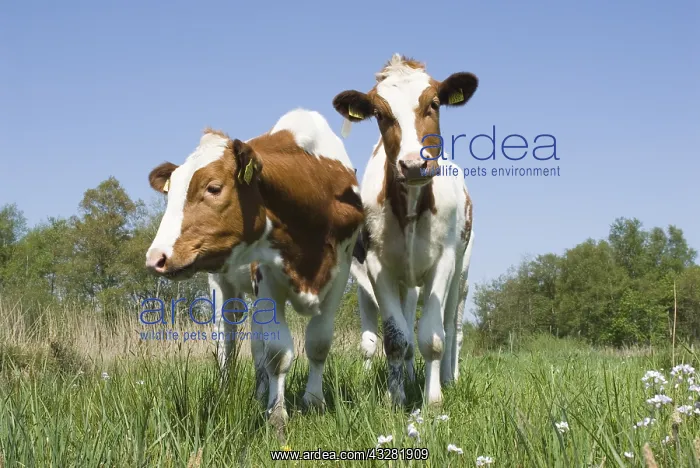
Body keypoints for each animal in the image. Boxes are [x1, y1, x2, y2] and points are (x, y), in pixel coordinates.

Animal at [144, 109, 364, 430]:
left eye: (213, 187)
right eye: (169, 195)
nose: (156, 258)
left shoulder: (339, 272)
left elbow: (318, 343)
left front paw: (313, 402)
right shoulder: (267, 279)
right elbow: (277, 353)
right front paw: (277, 416)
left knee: (257, 346)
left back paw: (261, 392)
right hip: (222, 286)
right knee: (227, 340)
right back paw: (227, 390)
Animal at [332, 54, 476, 407]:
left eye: (434, 104)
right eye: (380, 114)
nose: (412, 164)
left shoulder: (444, 262)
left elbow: (433, 337)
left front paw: (433, 400)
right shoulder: (375, 267)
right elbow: (397, 338)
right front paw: (395, 397)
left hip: (462, 274)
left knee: (452, 327)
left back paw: (450, 377)